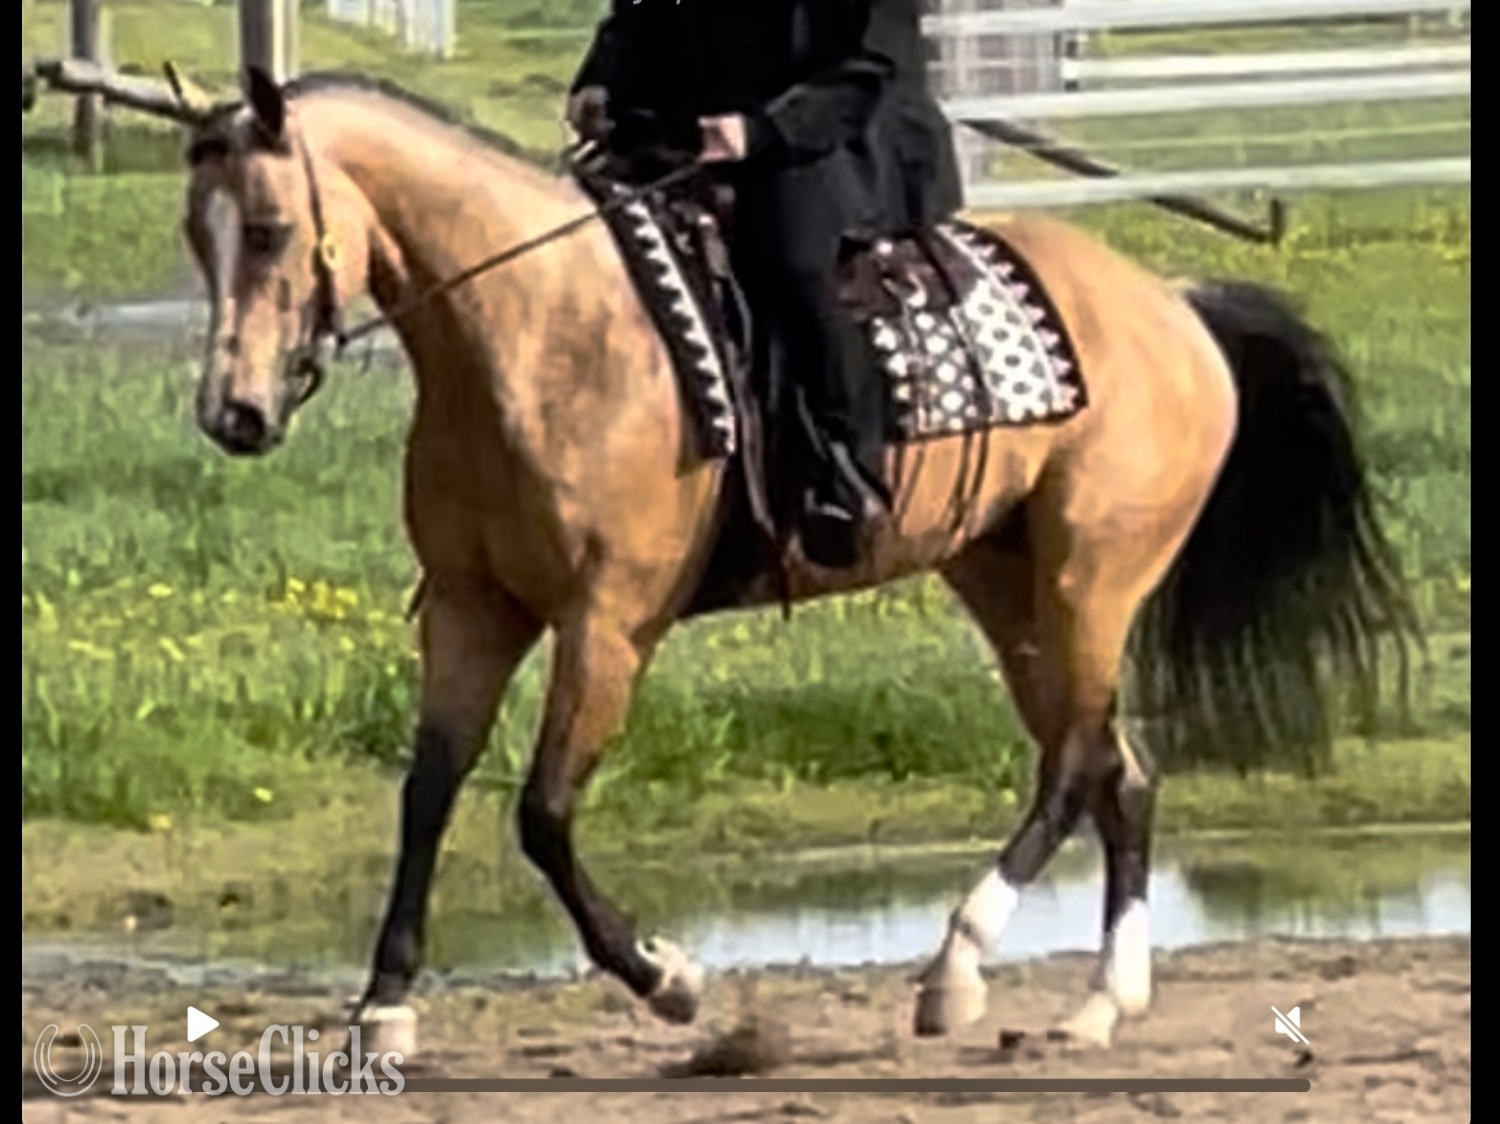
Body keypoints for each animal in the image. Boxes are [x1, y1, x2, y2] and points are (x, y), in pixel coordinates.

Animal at [42, 62, 1416, 1051]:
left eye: (274, 228)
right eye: (196, 230)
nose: (235, 414)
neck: (537, 336)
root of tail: (1175, 304)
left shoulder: (607, 623)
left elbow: (542, 813)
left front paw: (671, 978)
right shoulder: (473, 611)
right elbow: (428, 792)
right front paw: (383, 1004)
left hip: (1093, 573)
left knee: (1077, 764)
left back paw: (956, 972)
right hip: (1003, 578)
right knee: (1118, 770)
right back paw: (1093, 1006)